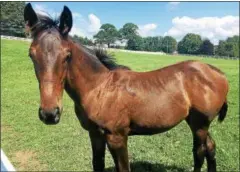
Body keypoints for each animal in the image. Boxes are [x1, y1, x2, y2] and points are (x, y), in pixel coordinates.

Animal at [23, 3, 229, 172]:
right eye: (31, 55)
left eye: (67, 55)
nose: (50, 114)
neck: (99, 89)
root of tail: (216, 72)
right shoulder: (95, 135)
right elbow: (97, 164)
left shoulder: (117, 138)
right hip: (195, 122)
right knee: (211, 148)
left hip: (199, 124)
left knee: (199, 152)